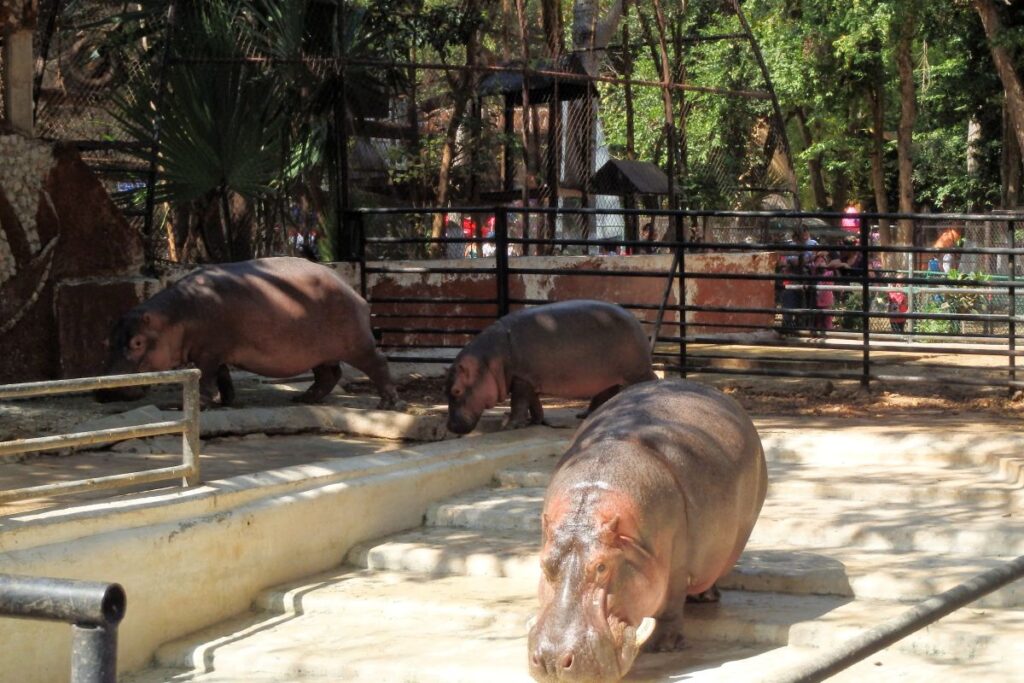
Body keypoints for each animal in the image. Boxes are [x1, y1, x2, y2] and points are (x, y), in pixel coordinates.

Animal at [96, 256, 400, 409]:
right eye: (108, 340)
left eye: (137, 342)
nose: (105, 391)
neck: (174, 317)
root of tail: (353, 291)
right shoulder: (215, 352)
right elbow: (222, 377)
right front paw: (227, 401)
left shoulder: (208, 353)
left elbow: (206, 378)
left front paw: (199, 404)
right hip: (320, 352)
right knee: (329, 375)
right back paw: (303, 398)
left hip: (357, 344)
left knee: (378, 363)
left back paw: (387, 404)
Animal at [445, 300, 656, 434]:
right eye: (445, 391)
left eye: (456, 391)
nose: (450, 427)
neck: (487, 362)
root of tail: (634, 318)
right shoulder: (527, 379)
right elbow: (533, 402)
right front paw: (535, 421)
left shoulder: (521, 378)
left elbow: (518, 403)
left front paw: (510, 426)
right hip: (606, 376)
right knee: (605, 393)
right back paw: (585, 415)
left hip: (637, 371)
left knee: (650, 381)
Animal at [528, 379, 767, 682]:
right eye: (543, 563)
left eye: (602, 567)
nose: (552, 660)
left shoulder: (676, 563)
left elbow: (671, 605)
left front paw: (662, 646)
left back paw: (704, 598)